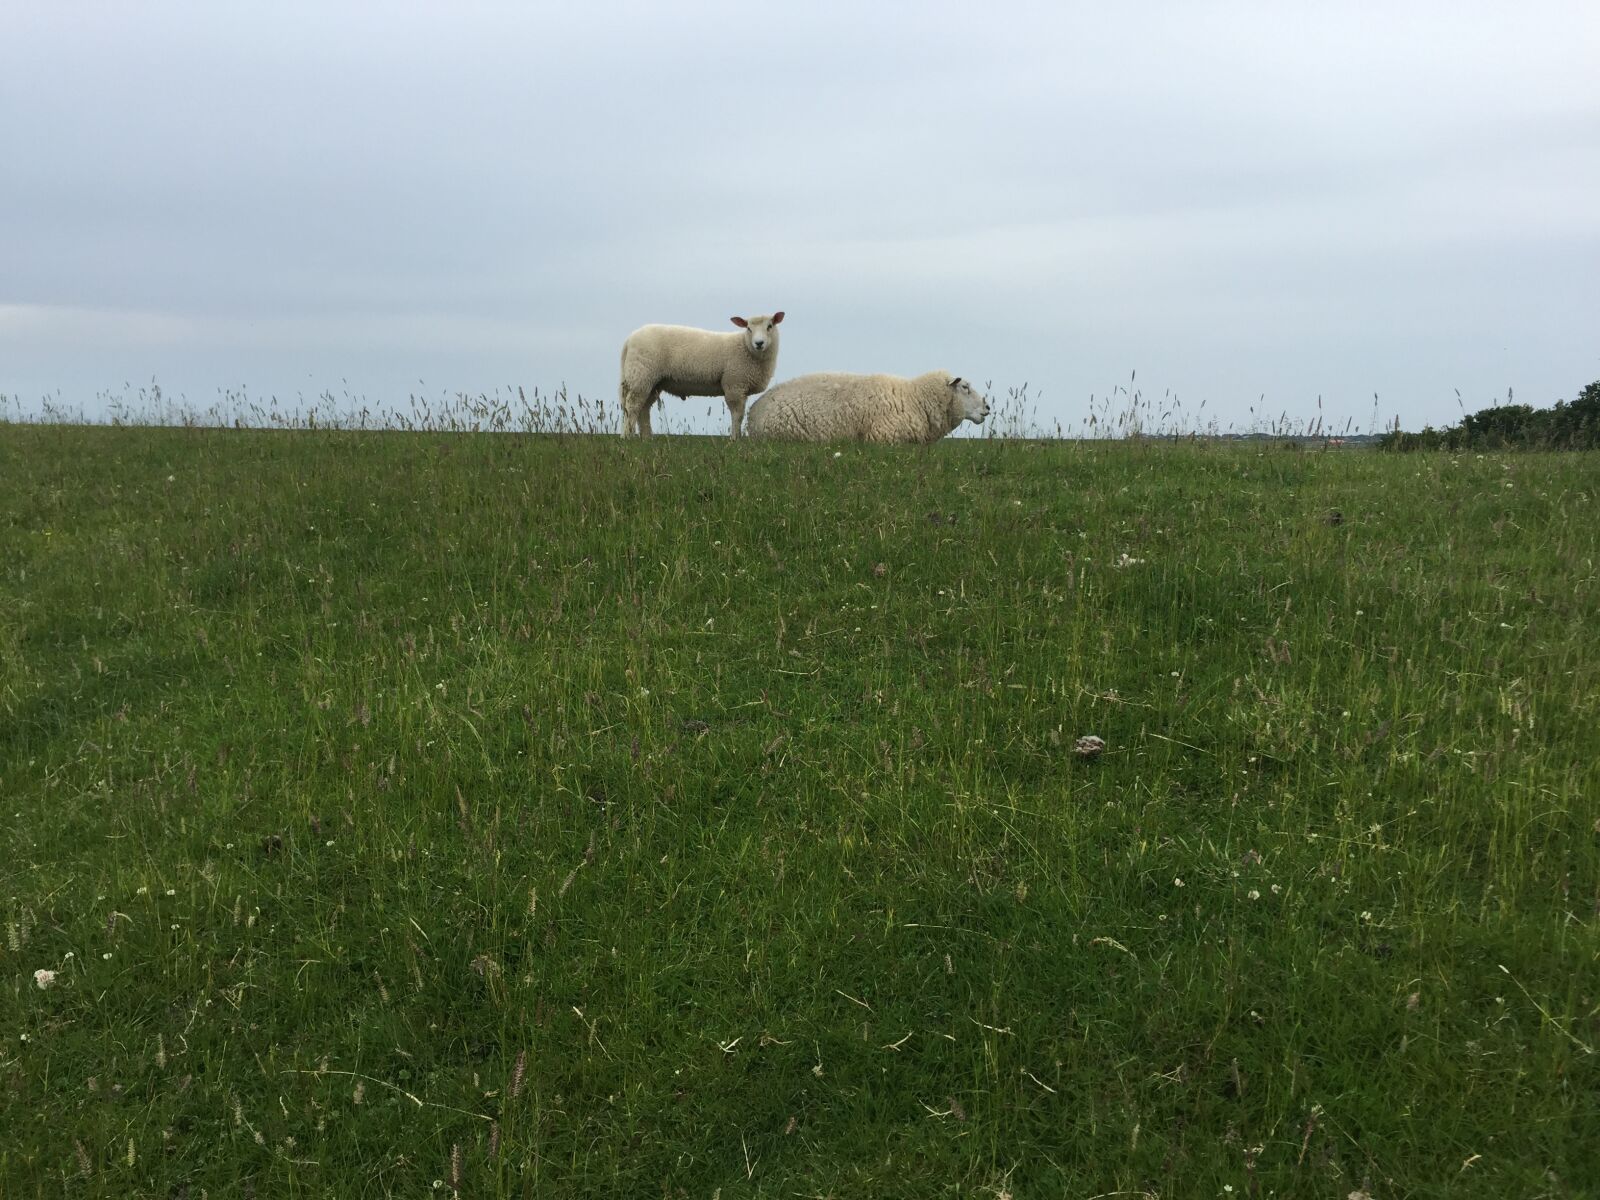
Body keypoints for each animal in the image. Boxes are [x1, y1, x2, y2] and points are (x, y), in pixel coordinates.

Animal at [618, 312, 784, 438]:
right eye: (749, 328)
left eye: (770, 326)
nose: (759, 343)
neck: (745, 348)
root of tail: (629, 339)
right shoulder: (734, 384)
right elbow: (737, 414)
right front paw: (735, 439)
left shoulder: (741, 386)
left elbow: (740, 414)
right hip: (641, 375)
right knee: (632, 406)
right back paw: (627, 436)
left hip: (652, 382)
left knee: (644, 408)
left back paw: (646, 437)